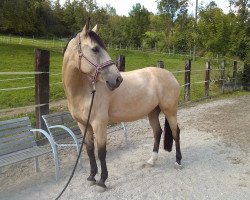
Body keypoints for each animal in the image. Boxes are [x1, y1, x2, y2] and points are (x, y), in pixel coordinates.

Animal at [62, 20, 182, 191]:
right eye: (95, 49)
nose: (117, 80)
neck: (84, 91)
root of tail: (170, 75)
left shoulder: (99, 124)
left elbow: (101, 152)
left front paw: (102, 181)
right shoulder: (83, 125)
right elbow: (90, 150)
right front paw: (91, 177)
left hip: (170, 111)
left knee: (176, 132)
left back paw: (178, 161)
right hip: (152, 112)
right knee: (157, 132)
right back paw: (152, 160)